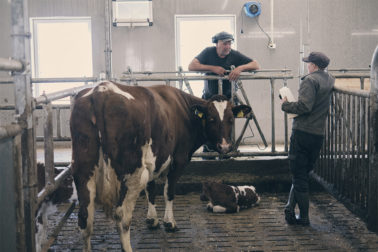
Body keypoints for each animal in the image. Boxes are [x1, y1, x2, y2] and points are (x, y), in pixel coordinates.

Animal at [70, 81, 251, 252]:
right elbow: (168, 192)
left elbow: (151, 190)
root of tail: (101, 90)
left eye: (231, 119)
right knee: (122, 216)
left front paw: (152, 219)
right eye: (212, 119)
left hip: (82, 170)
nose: (225, 146)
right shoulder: (178, 160)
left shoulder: (152, 163)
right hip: (133, 173)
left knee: (85, 218)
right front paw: (169, 223)